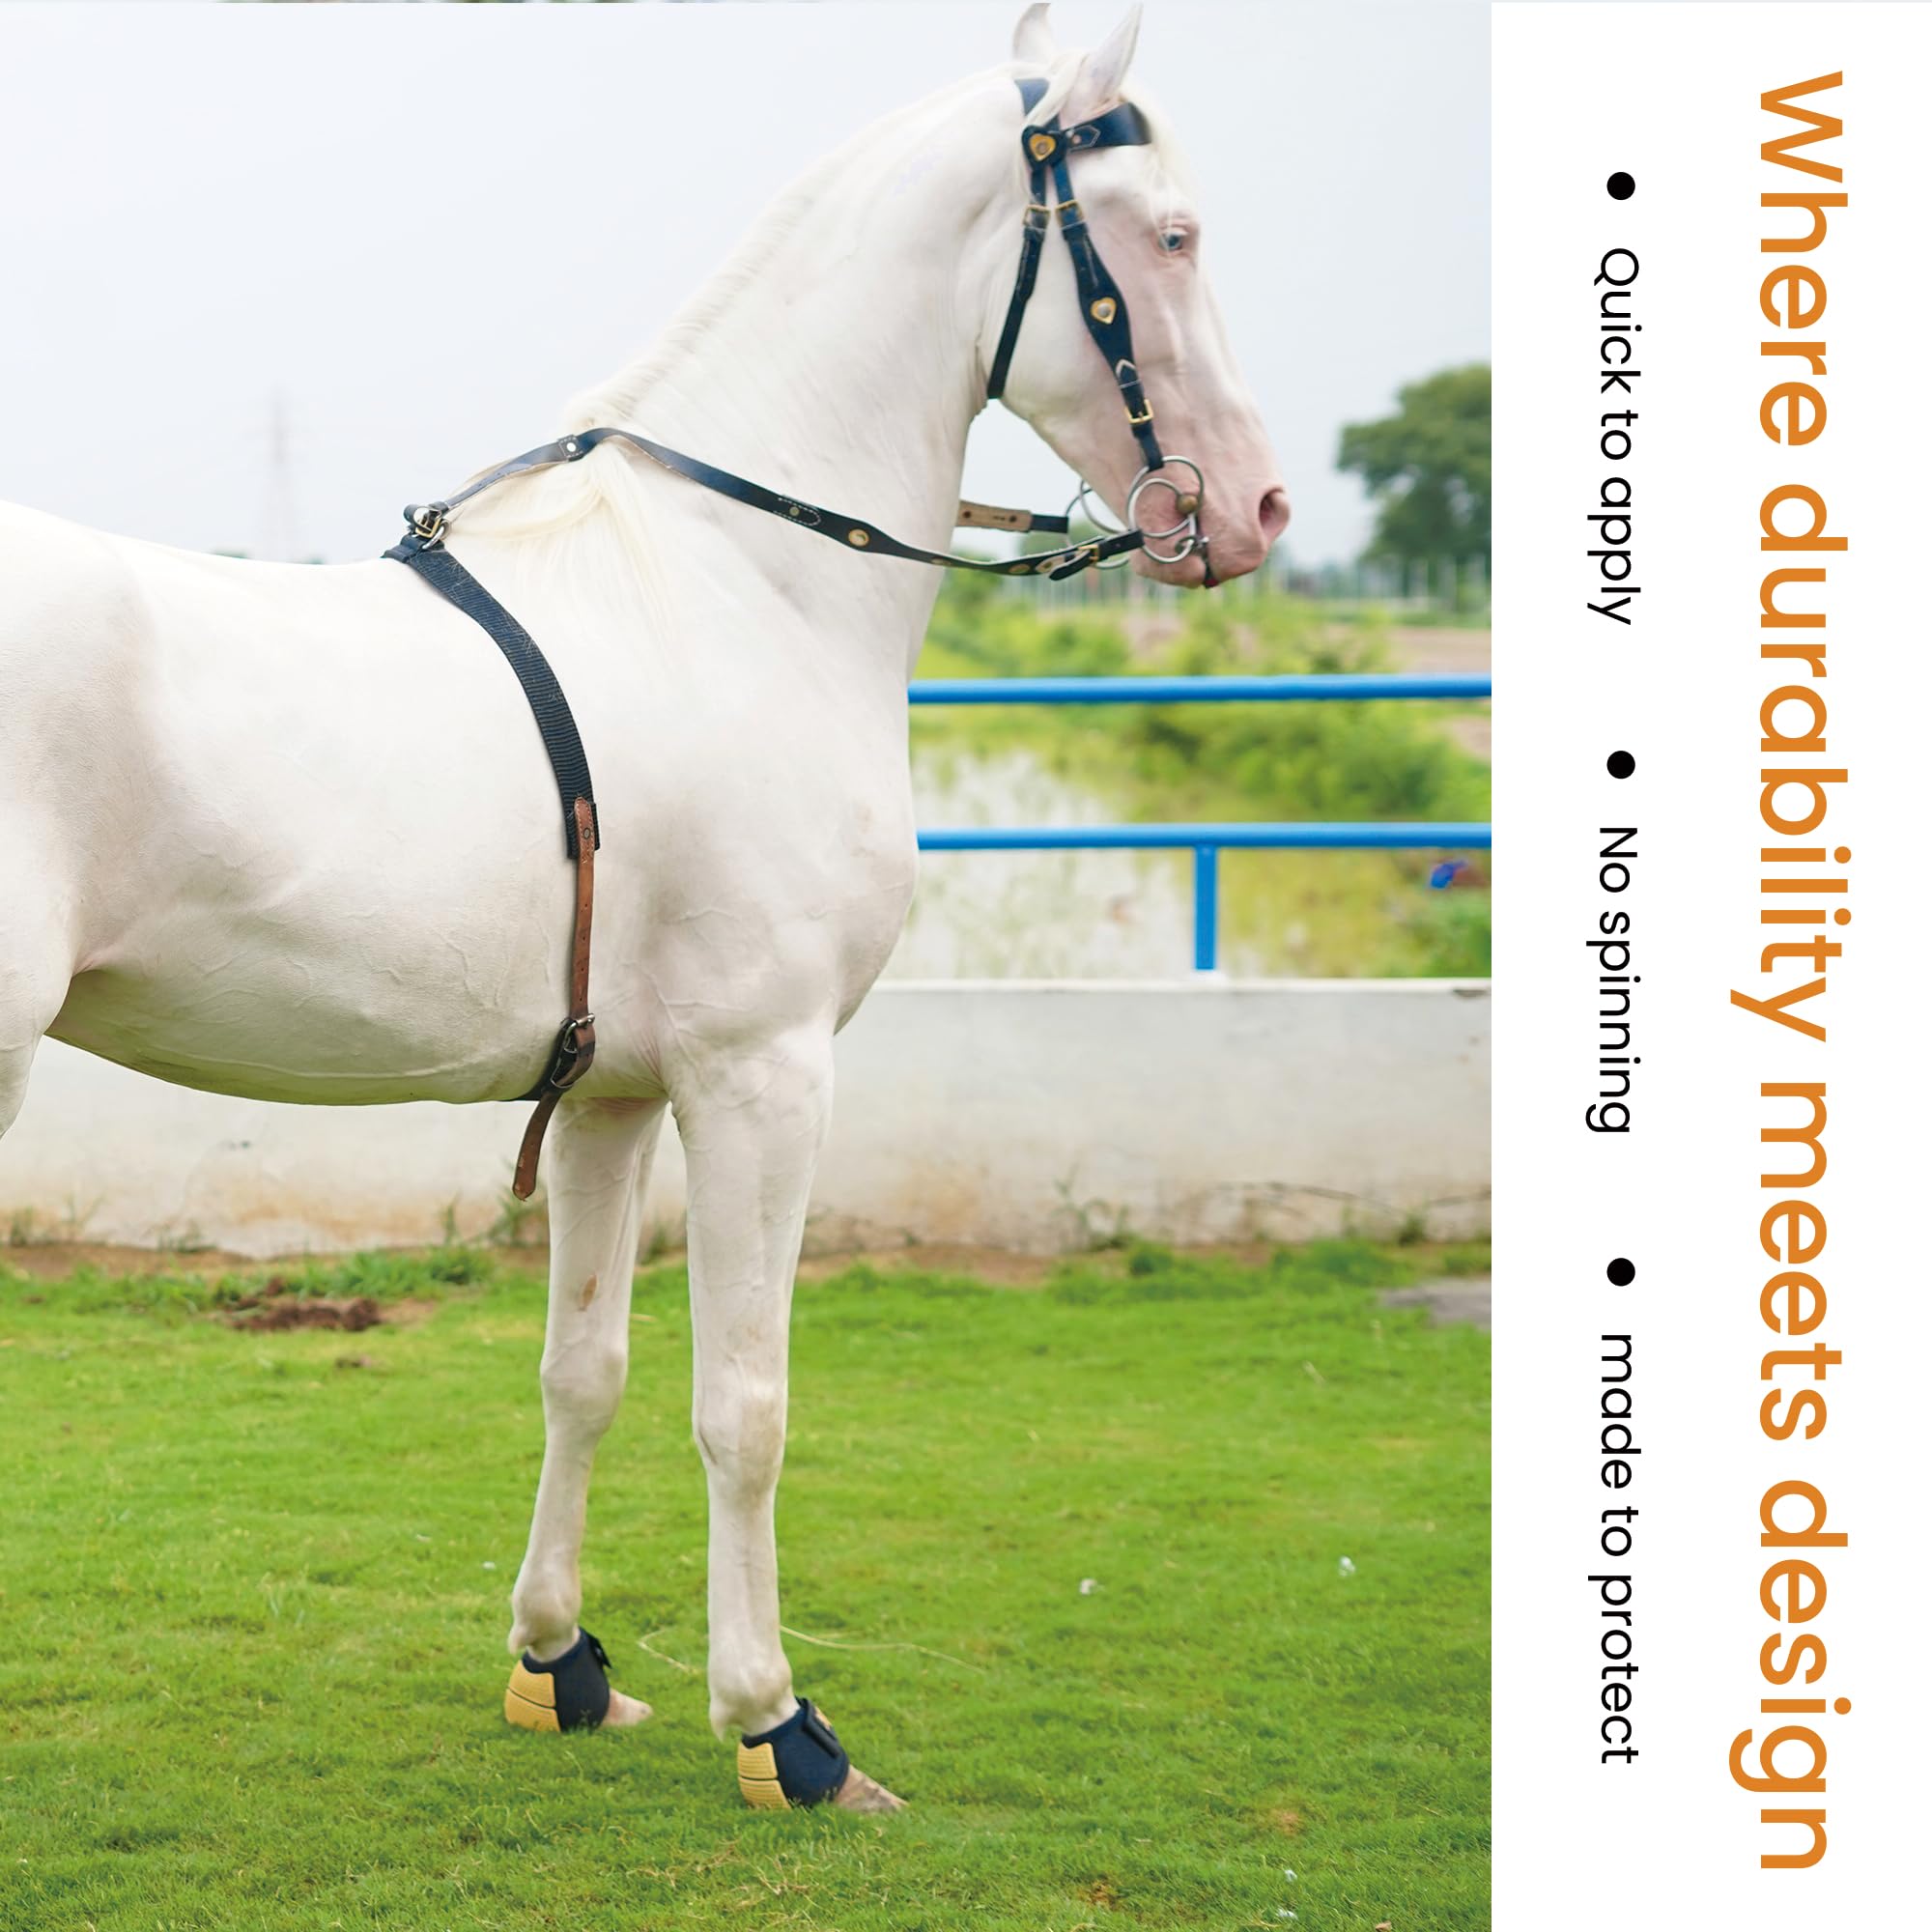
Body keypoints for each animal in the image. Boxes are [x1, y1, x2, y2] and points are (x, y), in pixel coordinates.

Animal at [0, 3, 1285, 1811]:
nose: (1252, 509)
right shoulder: (764, 1076)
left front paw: (562, 1663)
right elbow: (745, 1405)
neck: (737, 581)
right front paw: (780, 1726)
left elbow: (584, 1372)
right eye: (1170, 236)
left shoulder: (609, 1094)